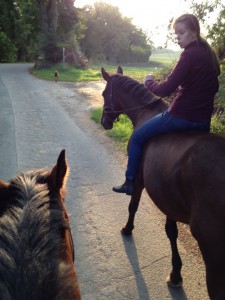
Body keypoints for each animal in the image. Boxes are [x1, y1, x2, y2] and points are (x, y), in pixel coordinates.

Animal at [101, 67, 225, 298]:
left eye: (105, 93)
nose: (104, 121)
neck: (145, 113)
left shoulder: (140, 181)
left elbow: (133, 205)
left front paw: (127, 228)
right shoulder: (167, 197)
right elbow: (171, 232)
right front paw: (175, 274)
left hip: (212, 250)